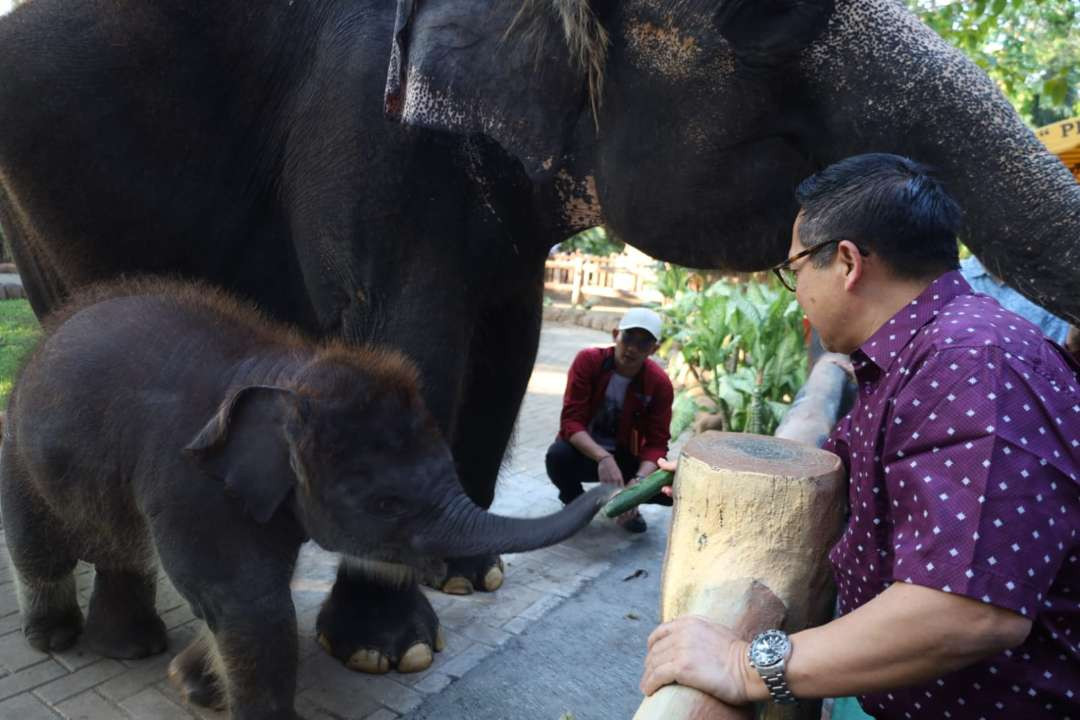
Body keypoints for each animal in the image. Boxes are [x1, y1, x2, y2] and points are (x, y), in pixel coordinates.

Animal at [0, 278, 609, 716]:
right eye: (386, 504)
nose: (608, 480)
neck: (288, 373)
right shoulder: (189, 483)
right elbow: (248, 600)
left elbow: (246, 594)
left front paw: (196, 688)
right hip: (17, 450)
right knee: (40, 547)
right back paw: (55, 639)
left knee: (122, 550)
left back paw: (135, 649)